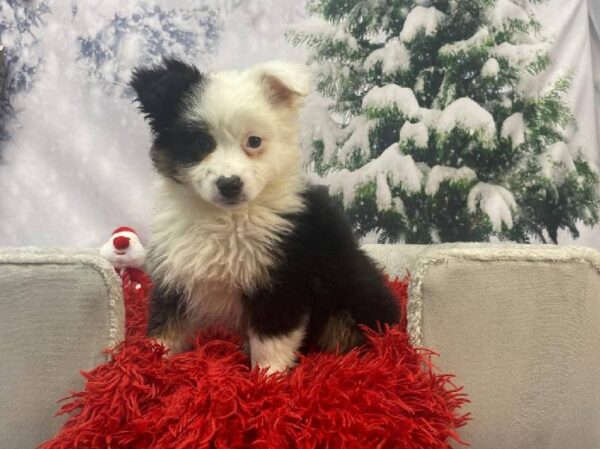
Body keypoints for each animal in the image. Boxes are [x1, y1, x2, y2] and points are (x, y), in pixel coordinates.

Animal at [132, 57, 404, 372]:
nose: (230, 184)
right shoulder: (175, 276)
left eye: (254, 141)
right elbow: (165, 328)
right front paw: (146, 365)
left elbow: (271, 342)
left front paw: (267, 379)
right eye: (201, 144)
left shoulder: (281, 280)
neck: (226, 219)